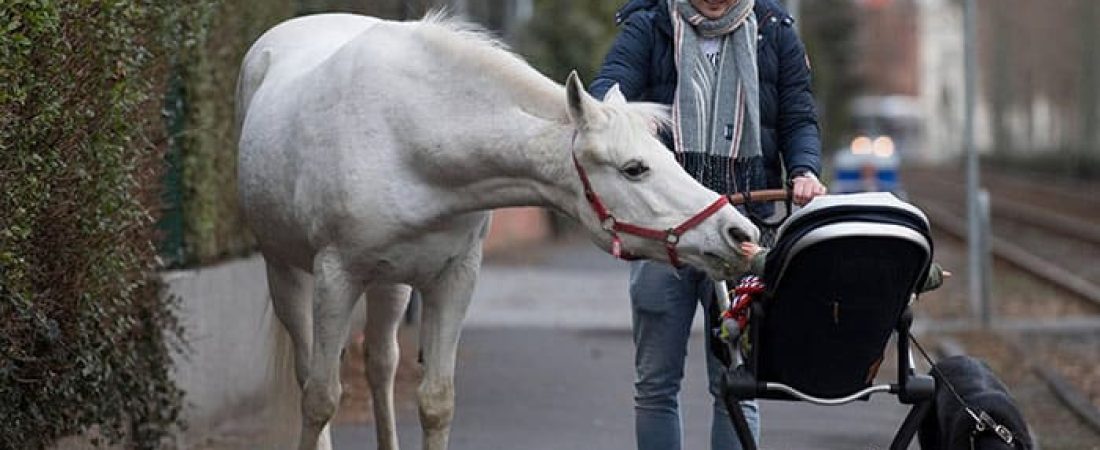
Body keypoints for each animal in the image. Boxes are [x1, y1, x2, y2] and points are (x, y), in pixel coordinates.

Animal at [237, 12, 761, 446]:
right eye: (635, 168)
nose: (740, 233)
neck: (408, 137)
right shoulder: (336, 276)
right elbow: (321, 398)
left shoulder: (453, 279)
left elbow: (436, 401)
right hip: (286, 271)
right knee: (309, 374)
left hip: (390, 284)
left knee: (381, 365)